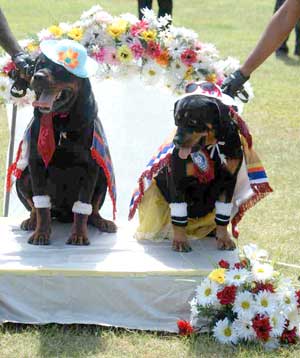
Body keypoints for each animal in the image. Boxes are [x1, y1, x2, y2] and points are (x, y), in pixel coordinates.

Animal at [7, 39, 117, 246]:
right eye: (37, 65)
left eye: (60, 68)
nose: (37, 76)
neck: (61, 122)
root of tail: (63, 215)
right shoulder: (37, 164)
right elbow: (41, 207)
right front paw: (41, 233)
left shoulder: (90, 167)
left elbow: (83, 207)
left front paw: (79, 235)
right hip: (22, 178)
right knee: (35, 207)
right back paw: (31, 221)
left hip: (102, 177)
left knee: (92, 210)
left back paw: (102, 222)